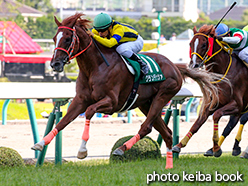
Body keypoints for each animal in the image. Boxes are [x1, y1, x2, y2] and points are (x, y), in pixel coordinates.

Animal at [32, 13, 220, 169]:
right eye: (54, 38)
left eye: (68, 38)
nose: (55, 64)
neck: (95, 67)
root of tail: (174, 65)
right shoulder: (80, 100)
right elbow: (63, 121)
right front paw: (40, 143)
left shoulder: (111, 103)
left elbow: (90, 112)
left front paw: (82, 151)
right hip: (146, 104)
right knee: (166, 133)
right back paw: (169, 165)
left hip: (163, 95)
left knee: (146, 127)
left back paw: (122, 148)